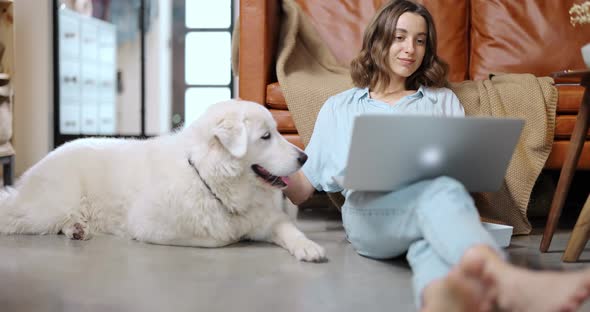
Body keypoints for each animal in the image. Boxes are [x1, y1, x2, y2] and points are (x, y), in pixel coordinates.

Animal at [0, 100, 326, 260]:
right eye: (266, 136)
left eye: (277, 131)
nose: (305, 158)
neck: (207, 177)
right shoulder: (151, 226)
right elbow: (220, 238)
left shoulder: (269, 219)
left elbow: (290, 230)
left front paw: (308, 247)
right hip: (46, 209)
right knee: (12, 214)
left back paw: (77, 229)